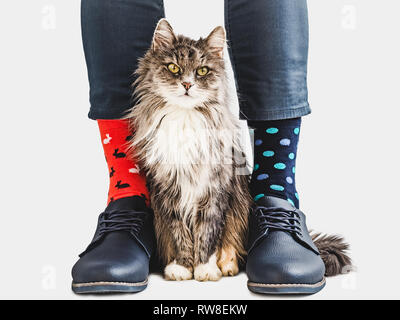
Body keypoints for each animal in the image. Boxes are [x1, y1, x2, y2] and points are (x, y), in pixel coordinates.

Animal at [128, 19, 250, 280]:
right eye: (173, 68)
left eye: (202, 71)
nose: (186, 84)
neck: (184, 119)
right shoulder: (168, 191)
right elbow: (179, 234)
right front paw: (182, 267)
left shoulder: (214, 190)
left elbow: (208, 233)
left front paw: (205, 268)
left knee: (231, 242)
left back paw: (227, 265)